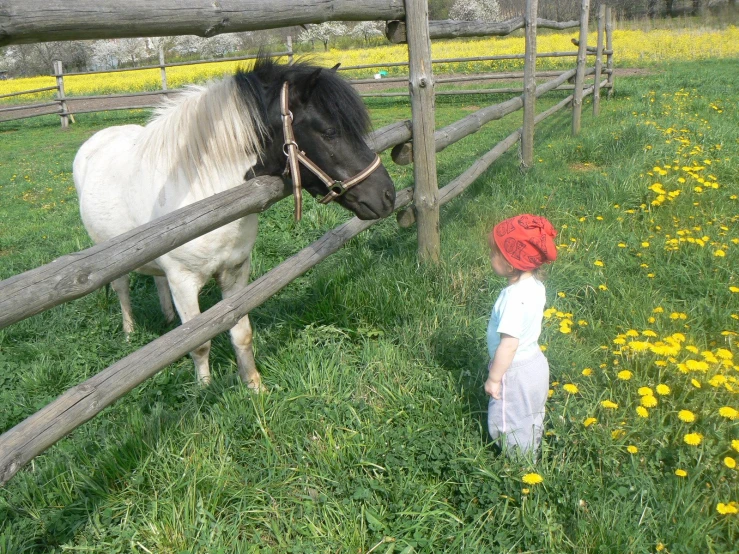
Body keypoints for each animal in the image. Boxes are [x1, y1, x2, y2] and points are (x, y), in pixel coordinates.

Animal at [73, 54, 398, 386]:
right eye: (330, 132)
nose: (387, 195)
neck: (203, 189)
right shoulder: (183, 282)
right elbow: (199, 343)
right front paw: (204, 389)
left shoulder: (235, 270)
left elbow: (241, 332)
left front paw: (254, 385)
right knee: (122, 290)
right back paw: (129, 332)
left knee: (156, 279)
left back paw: (167, 318)